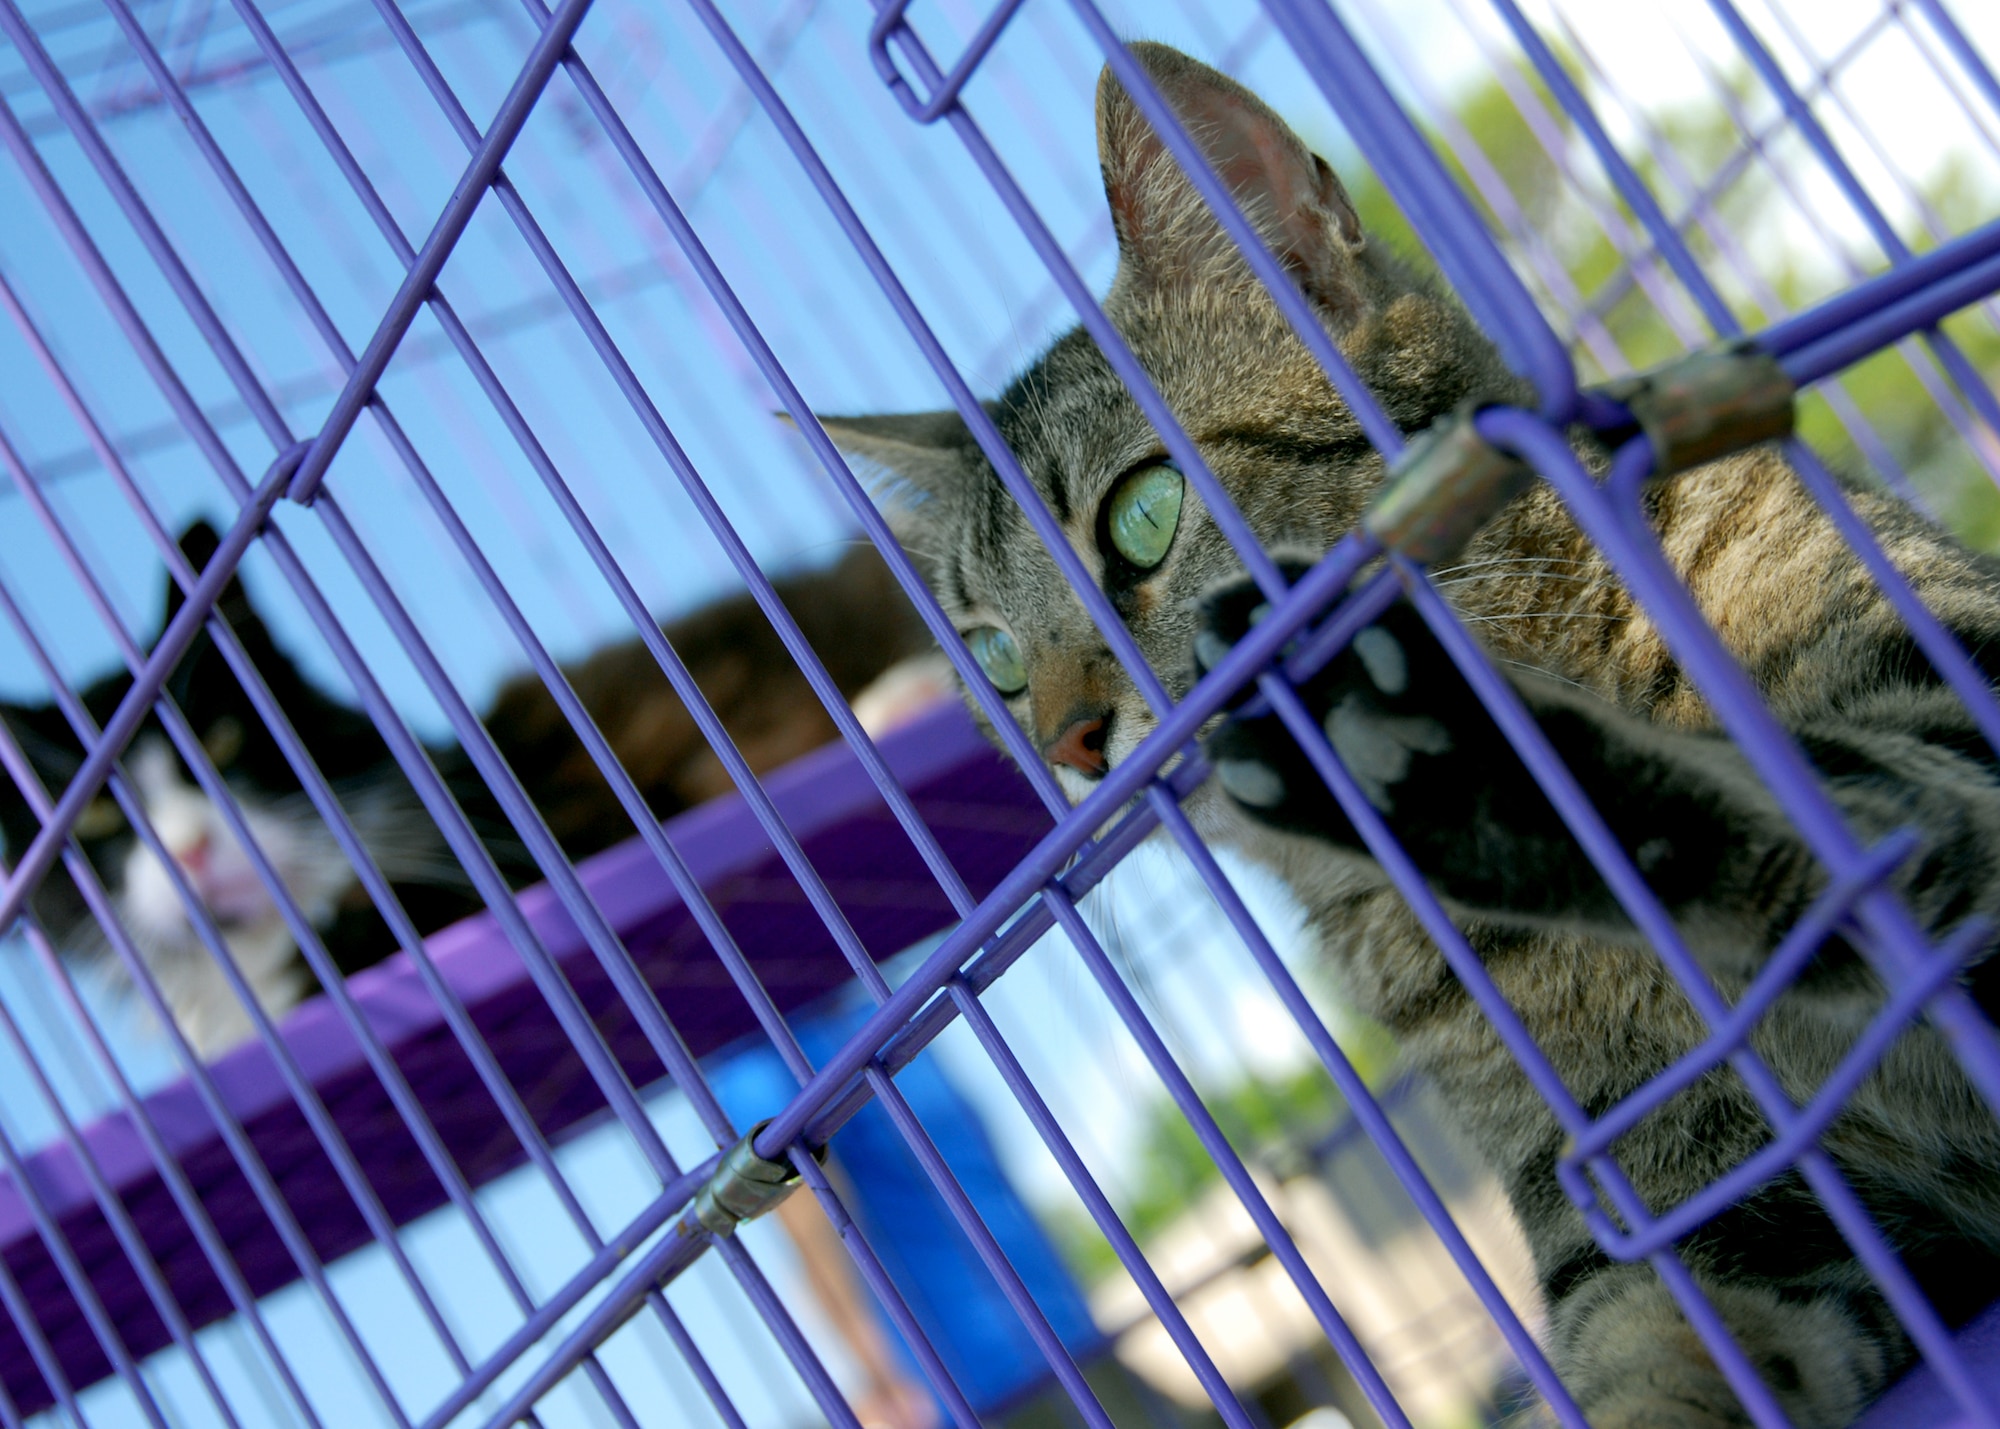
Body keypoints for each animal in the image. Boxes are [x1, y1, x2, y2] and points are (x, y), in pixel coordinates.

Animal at [812, 41, 2000, 1424]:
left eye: (1144, 516)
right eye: (992, 657)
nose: (1067, 742)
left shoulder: (1947, 709)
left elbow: (1845, 818)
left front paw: (1461, 764)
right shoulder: (1666, 1202)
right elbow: (1640, 1351)